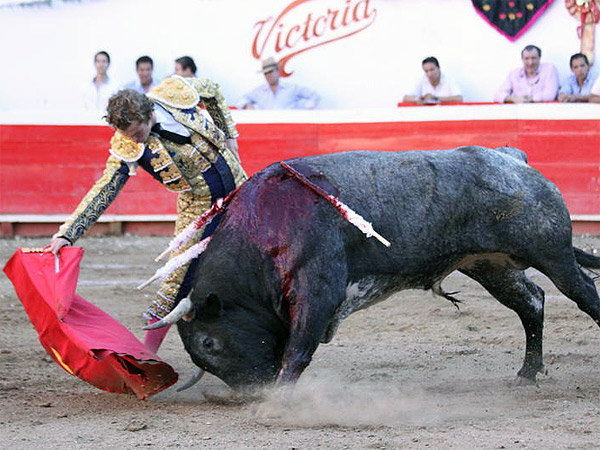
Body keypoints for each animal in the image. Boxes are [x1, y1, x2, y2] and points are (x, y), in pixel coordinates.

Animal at [149, 147, 600, 390]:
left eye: (209, 343)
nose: (251, 395)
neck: (265, 228)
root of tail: (512, 158)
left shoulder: (318, 289)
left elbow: (298, 350)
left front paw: (279, 401)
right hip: (489, 265)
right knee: (532, 302)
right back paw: (527, 372)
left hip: (553, 252)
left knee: (585, 295)